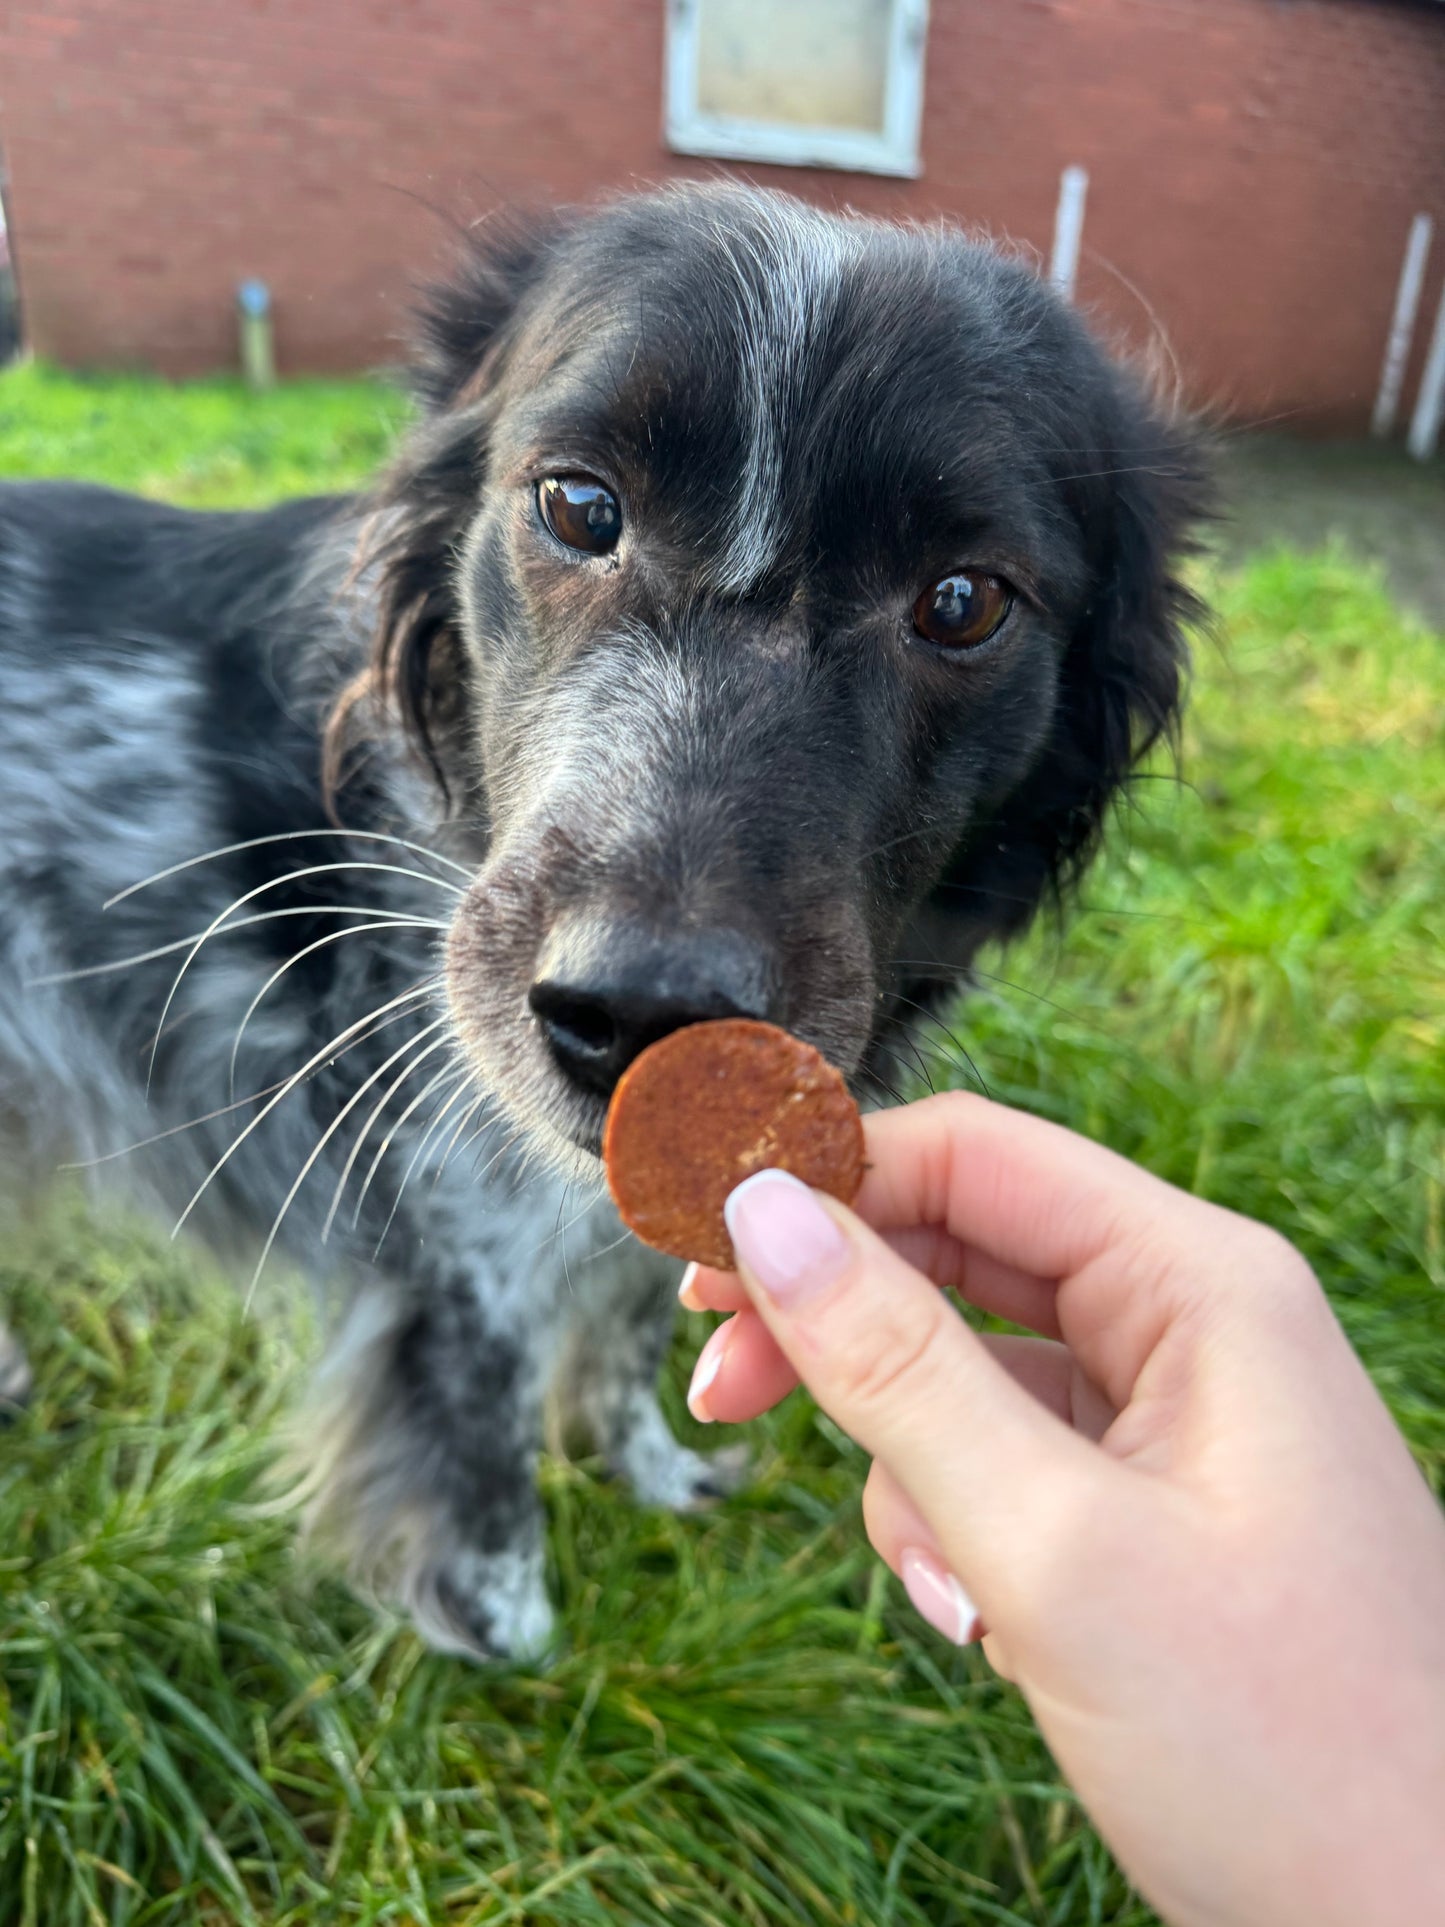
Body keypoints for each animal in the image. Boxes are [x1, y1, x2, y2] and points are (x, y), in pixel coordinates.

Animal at [0, 181, 1202, 1657]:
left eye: (964, 600)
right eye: (577, 504)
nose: (637, 1013)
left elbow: (630, 1345)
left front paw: (652, 1475)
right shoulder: (461, 1252)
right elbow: (487, 1482)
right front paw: (521, 1654)